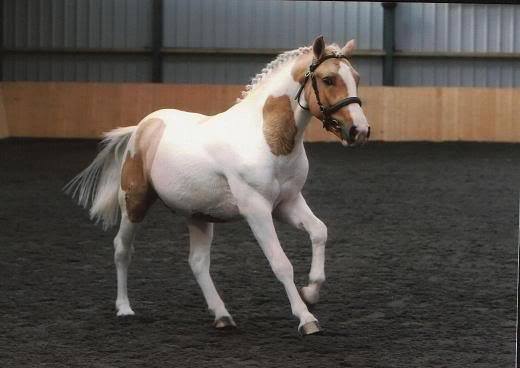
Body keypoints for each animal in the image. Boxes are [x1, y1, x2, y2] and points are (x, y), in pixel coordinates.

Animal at [67, 37, 370, 336]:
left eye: (356, 77)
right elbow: (281, 263)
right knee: (122, 249)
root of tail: (143, 128)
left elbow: (319, 231)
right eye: (328, 79)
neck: (265, 139)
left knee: (198, 263)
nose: (360, 131)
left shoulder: (287, 203)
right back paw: (124, 308)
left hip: (198, 215)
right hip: (135, 202)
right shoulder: (256, 209)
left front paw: (311, 292)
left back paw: (222, 316)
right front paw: (306, 318)